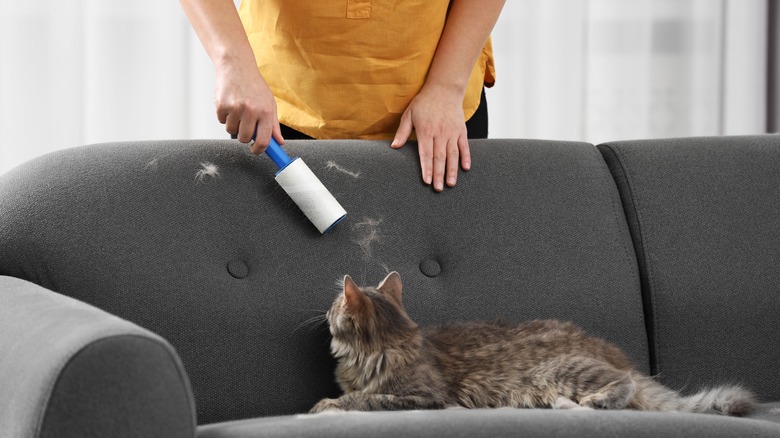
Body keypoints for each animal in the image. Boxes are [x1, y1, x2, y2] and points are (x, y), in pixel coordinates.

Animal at [310, 270, 756, 414]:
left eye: (333, 305)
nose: (325, 309)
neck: (389, 343)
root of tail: (616, 354)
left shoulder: (424, 397)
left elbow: (364, 398)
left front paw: (326, 405)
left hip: (559, 371)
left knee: (623, 387)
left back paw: (592, 402)